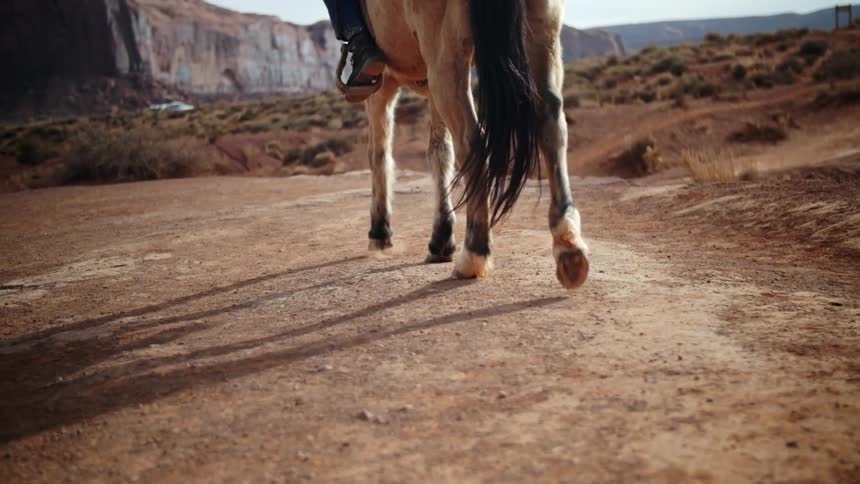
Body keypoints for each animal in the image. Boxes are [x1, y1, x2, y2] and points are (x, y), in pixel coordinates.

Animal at [360, 0, 590, 289]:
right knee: (550, 118)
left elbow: (379, 154)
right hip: (543, 32)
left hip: (445, 59)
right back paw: (568, 246)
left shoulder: (381, 85)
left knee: (473, 141)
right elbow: (439, 152)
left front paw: (380, 233)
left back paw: (473, 255)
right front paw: (441, 239)